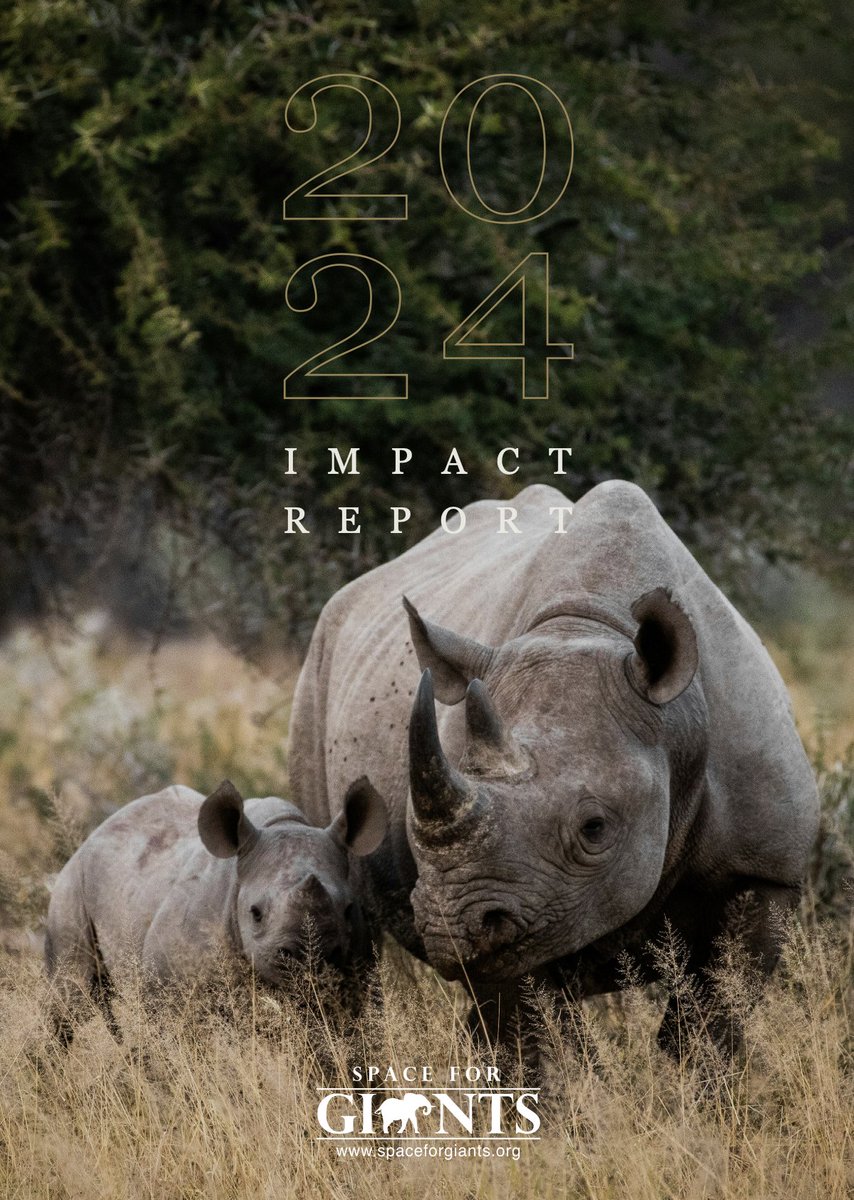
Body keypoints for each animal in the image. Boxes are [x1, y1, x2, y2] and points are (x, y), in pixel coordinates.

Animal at [45, 776, 387, 1041]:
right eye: (255, 913)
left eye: (348, 909)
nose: (307, 959)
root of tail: (95, 832)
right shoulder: (166, 989)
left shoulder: (358, 982)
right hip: (70, 888)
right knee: (69, 1002)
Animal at [289, 481, 819, 1053]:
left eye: (595, 828)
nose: (452, 926)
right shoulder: (519, 900)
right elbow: (534, 1033)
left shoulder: (764, 870)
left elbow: (712, 1023)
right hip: (315, 673)